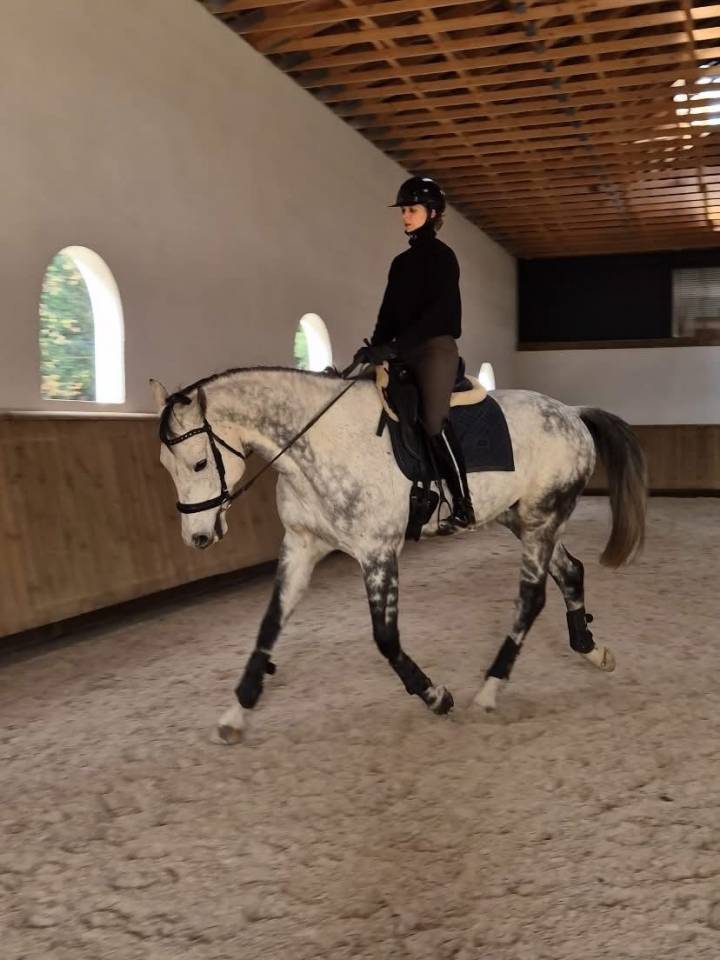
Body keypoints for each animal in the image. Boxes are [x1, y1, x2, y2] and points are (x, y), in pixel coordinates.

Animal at [150, 366, 647, 743]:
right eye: (164, 467)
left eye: (198, 463)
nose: (197, 538)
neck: (321, 445)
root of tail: (571, 413)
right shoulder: (301, 544)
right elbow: (270, 624)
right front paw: (237, 713)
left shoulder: (377, 552)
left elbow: (386, 638)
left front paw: (435, 696)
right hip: (522, 519)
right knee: (571, 572)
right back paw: (591, 650)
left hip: (541, 520)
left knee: (531, 598)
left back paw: (488, 691)